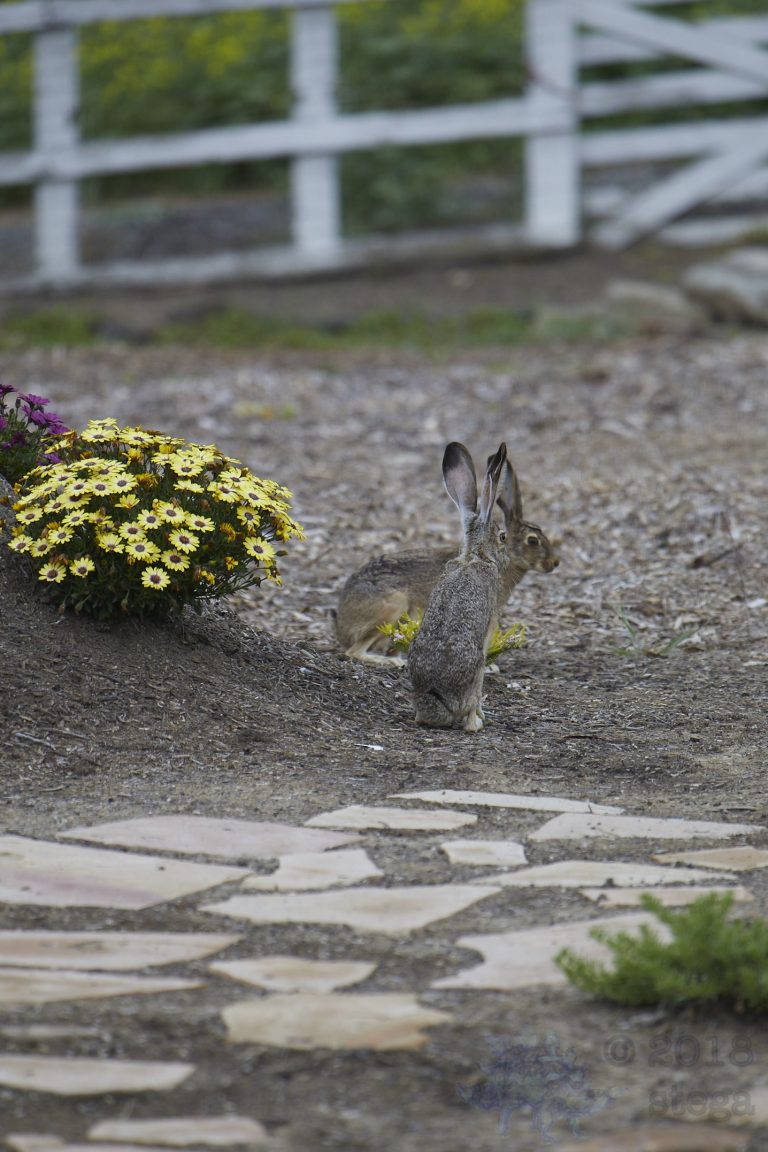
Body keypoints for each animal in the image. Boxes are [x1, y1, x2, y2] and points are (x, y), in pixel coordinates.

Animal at [334, 450, 559, 666]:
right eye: (533, 541)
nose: (555, 563)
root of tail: (343, 622)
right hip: (392, 608)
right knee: (354, 651)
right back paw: (389, 661)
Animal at [408, 441, 509, 732]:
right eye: (503, 536)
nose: (507, 554)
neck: (474, 554)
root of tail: (435, 699)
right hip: (477, 669)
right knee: (472, 708)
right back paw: (478, 721)